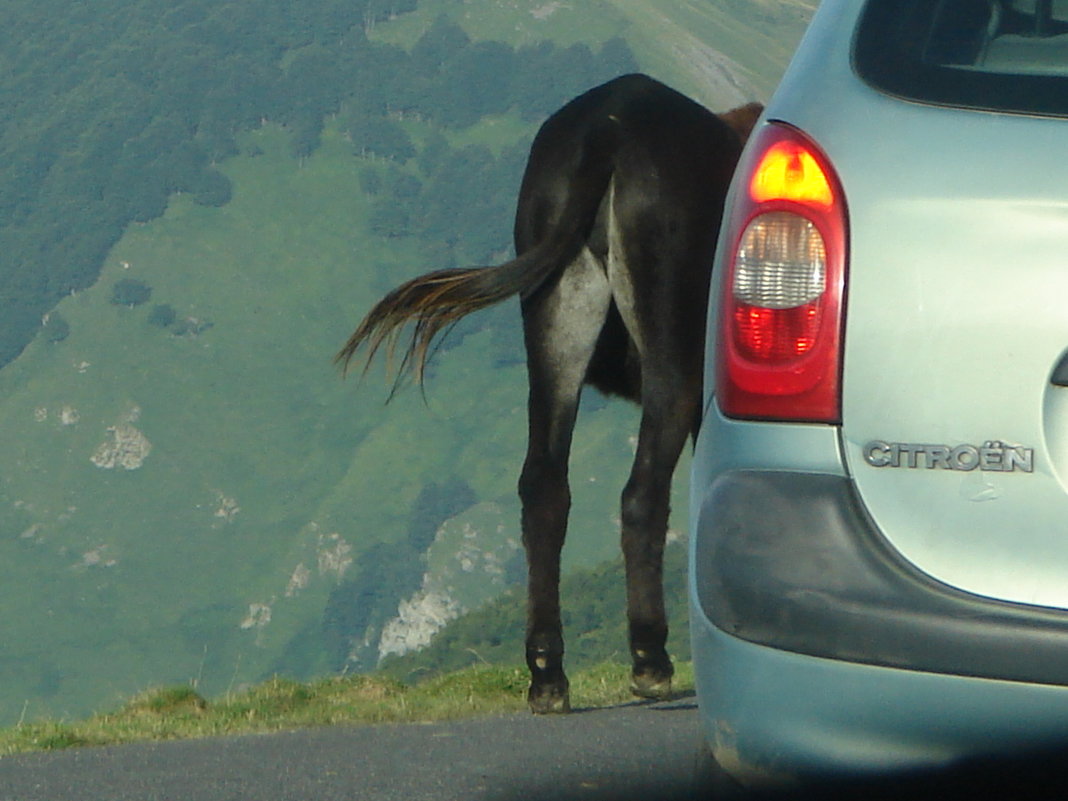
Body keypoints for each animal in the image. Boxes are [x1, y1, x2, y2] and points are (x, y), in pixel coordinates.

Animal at [335, 75, 760, 713]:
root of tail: (610, 125)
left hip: (554, 314)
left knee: (542, 486)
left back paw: (547, 673)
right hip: (671, 336)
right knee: (641, 491)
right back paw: (649, 660)